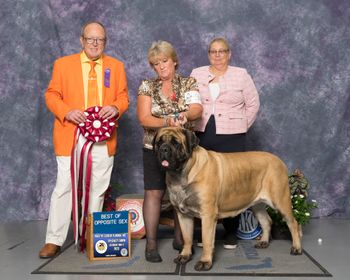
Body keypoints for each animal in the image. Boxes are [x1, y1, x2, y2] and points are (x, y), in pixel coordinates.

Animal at [154, 127, 302, 272]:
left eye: (176, 143)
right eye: (159, 142)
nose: (164, 149)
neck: (183, 174)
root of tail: (278, 160)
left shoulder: (208, 215)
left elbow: (207, 241)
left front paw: (205, 262)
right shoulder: (183, 215)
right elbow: (187, 238)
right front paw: (185, 256)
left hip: (281, 201)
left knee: (293, 223)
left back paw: (296, 248)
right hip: (257, 205)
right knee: (266, 221)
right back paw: (264, 242)